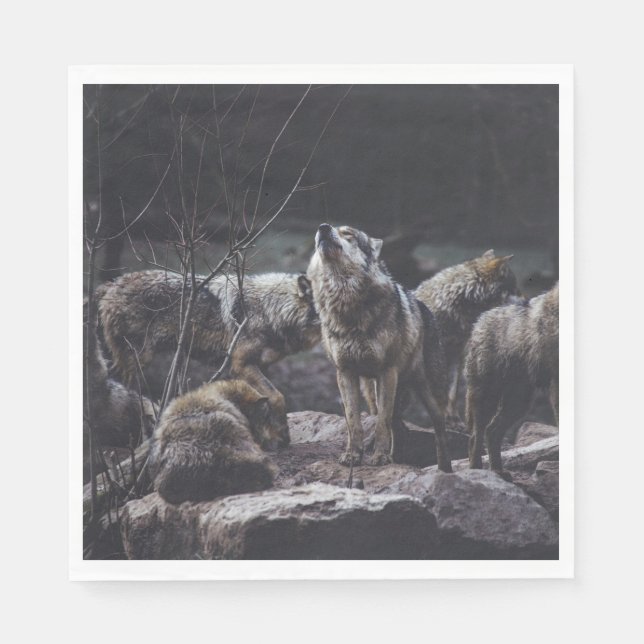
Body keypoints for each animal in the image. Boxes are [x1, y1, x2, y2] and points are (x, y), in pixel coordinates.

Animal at [97, 270, 320, 442]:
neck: (271, 309)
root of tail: (111, 284)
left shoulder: (259, 366)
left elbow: (263, 400)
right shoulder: (240, 364)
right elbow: (277, 396)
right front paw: (283, 434)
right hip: (138, 360)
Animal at [307, 223, 452, 471]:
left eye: (348, 233)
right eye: (329, 228)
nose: (323, 227)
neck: (346, 303)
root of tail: (425, 309)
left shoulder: (387, 372)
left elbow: (381, 423)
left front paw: (380, 458)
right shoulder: (345, 372)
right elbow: (353, 421)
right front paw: (353, 455)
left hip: (428, 395)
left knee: (439, 431)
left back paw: (445, 470)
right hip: (375, 392)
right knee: (400, 427)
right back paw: (397, 458)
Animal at [414, 249, 521, 428]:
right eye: (515, 289)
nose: (527, 300)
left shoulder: (457, 354)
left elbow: (452, 393)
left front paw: (454, 420)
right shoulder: (438, 353)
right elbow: (440, 393)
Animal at [465, 282, 559, 479]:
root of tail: (479, 321)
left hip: (518, 403)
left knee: (492, 431)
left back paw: (498, 471)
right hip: (488, 398)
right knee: (475, 436)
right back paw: (478, 470)